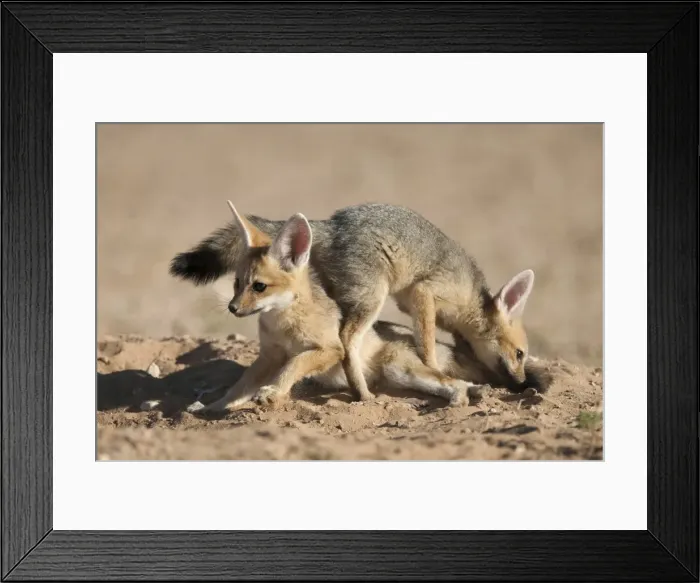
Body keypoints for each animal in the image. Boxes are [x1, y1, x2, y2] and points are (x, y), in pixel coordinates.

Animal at [171, 202, 535, 403]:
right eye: (520, 354)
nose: (520, 383)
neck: (472, 300)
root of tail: (331, 224)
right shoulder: (424, 295)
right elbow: (429, 347)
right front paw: (433, 363)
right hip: (373, 298)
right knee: (347, 340)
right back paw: (361, 391)